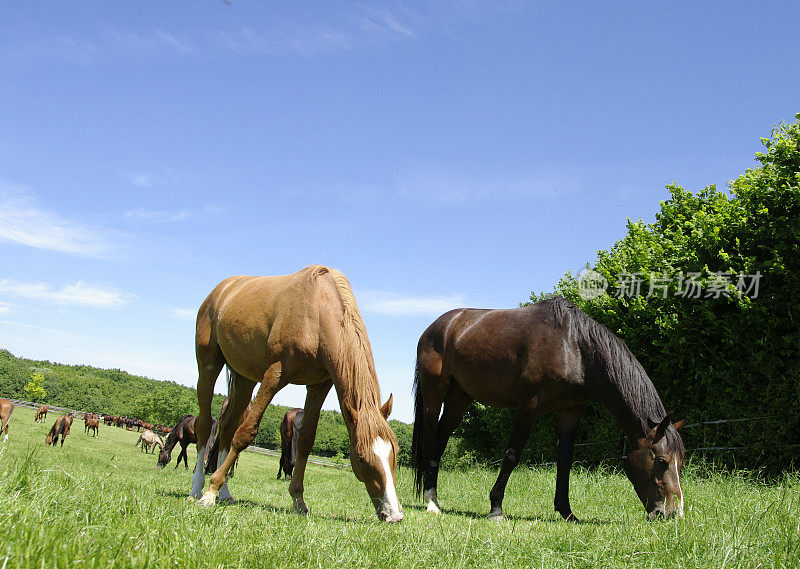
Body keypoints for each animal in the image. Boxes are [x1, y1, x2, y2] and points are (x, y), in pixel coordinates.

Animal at [191, 266, 404, 524]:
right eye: (361, 457)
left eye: (395, 452)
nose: (394, 515)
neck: (317, 312)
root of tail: (220, 290)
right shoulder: (275, 374)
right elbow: (246, 433)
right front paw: (209, 492)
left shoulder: (319, 385)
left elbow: (305, 441)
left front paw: (298, 500)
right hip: (208, 364)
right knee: (205, 424)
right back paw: (199, 488)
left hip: (244, 378)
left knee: (228, 427)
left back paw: (225, 492)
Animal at [412, 300, 688, 520]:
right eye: (661, 461)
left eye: (681, 462)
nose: (673, 514)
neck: (575, 347)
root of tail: (437, 327)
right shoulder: (528, 407)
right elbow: (511, 455)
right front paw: (496, 508)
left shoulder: (571, 411)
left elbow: (564, 460)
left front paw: (566, 512)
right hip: (434, 395)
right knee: (429, 441)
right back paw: (431, 503)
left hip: (459, 400)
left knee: (440, 443)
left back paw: (435, 497)